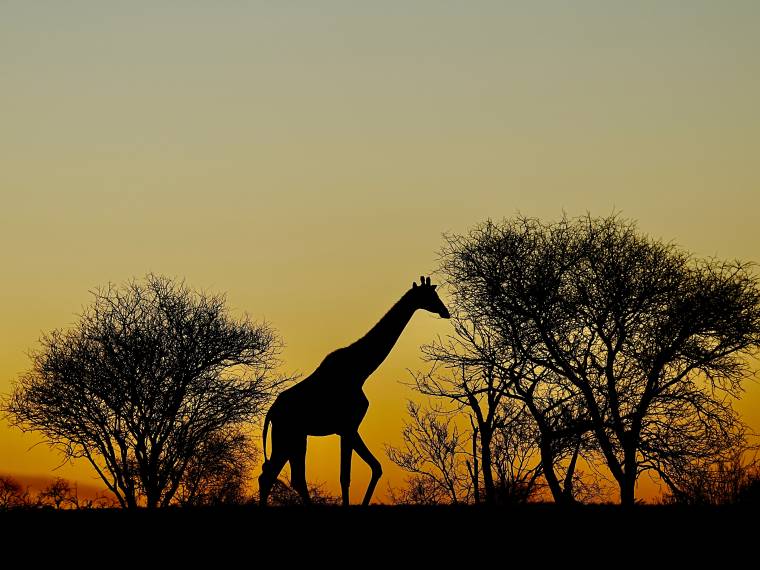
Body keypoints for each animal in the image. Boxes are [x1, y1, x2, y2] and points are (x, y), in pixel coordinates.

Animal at [258, 276, 450, 506]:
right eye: (431, 295)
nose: (446, 312)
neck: (361, 370)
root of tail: (271, 413)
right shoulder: (348, 427)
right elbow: (346, 476)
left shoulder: (349, 428)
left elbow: (375, 467)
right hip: (287, 435)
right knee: (273, 476)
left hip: (295, 437)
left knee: (285, 477)